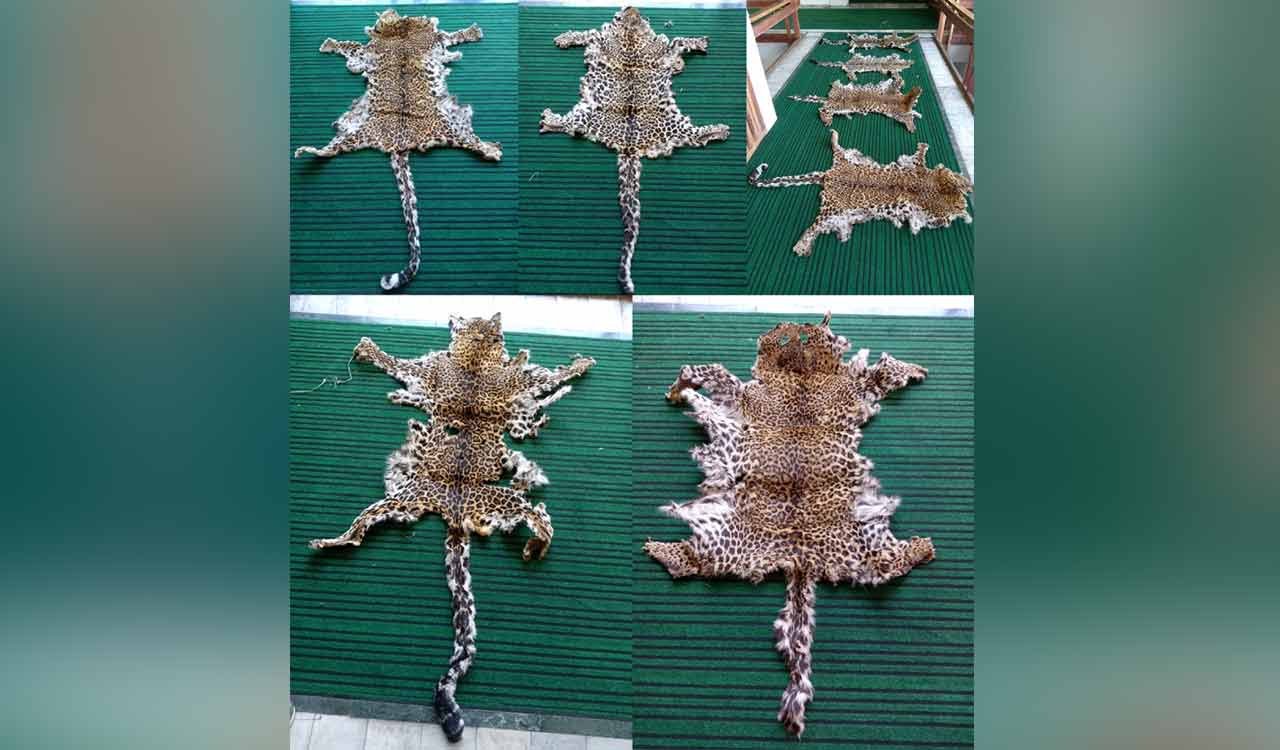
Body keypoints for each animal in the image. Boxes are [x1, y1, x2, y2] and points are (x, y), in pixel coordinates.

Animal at [294, 9, 503, 292]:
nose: (388, 13)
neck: (401, 29)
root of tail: (398, 142)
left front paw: (471, 31)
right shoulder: (383, 47)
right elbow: (352, 46)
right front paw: (331, 43)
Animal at [308, 314, 595, 743]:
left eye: (468, 322)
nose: (453, 318)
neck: (474, 359)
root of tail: (457, 511)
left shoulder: (486, 380)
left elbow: (549, 377)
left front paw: (579, 364)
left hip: (478, 501)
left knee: (543, 523)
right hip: (410, 499)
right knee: (359, 531)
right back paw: (328, 541)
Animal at [539, 6, 731, 293]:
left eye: (639, 15)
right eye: (623, 13)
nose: (631, 7)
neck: (630, 31)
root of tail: (629, 145)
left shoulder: (655, 45)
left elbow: (677, 40)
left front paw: (696, 41)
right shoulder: (603, 37)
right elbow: (586, 32)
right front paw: (565, 37)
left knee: (694, 136)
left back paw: (718, 129)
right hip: (593, 113)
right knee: (570, 124)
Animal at [644, 313, 935, 737]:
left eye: (816, 335)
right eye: (782, 336)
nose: (796, 330)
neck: (800, 381)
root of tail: (798, 557)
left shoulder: (844, 389)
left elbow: (883, 371)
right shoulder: (752, 395)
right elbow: (705, 371)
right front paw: (679, 388)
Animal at [749, 129, 973, 257]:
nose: (966, 195)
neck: (935, 188)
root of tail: (828, 175)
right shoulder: (918, 171)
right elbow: (920, 156)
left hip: (843, 167)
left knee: (838, 150)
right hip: (831, 209)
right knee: (813, 227)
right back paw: (801, 246)